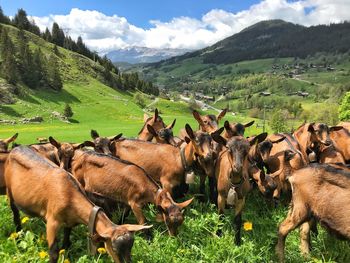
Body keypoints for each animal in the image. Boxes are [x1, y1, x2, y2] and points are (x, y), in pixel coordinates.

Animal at [4, 147, 151, 262]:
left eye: (131, 247)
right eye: (114, 248)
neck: (69, 193)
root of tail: (16, 148)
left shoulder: (69, 222)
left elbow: (66, 243)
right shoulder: (52, 221)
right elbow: (53, 252)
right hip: (9, 193)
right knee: (15, 214)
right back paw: (18, 236)